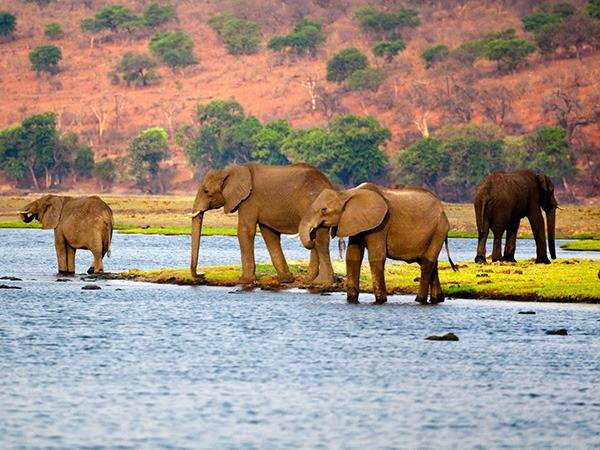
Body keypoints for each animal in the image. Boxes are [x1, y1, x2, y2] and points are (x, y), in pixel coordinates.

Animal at [190, 162, 336, 284]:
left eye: (206, 191)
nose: (202, 276)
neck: (230, 171)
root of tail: (329, 184)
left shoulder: (249, 200)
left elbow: (245, 231)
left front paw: (244, 281)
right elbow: (269, 235)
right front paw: (285, 279)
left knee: (320, 240)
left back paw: (320, 282)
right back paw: (310, 281)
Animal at [298, 184, 458, 306]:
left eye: (324, 210)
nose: (313, 235)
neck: (346, 193)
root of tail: (442, 209)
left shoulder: (381, 225)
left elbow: (376, 257)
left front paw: (381, 300)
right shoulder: (355, 223)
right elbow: (353, 256)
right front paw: (351, 299)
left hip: (439, 229)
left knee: (427, 263)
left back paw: (419, 299)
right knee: (431, 263)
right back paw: (438, 299)